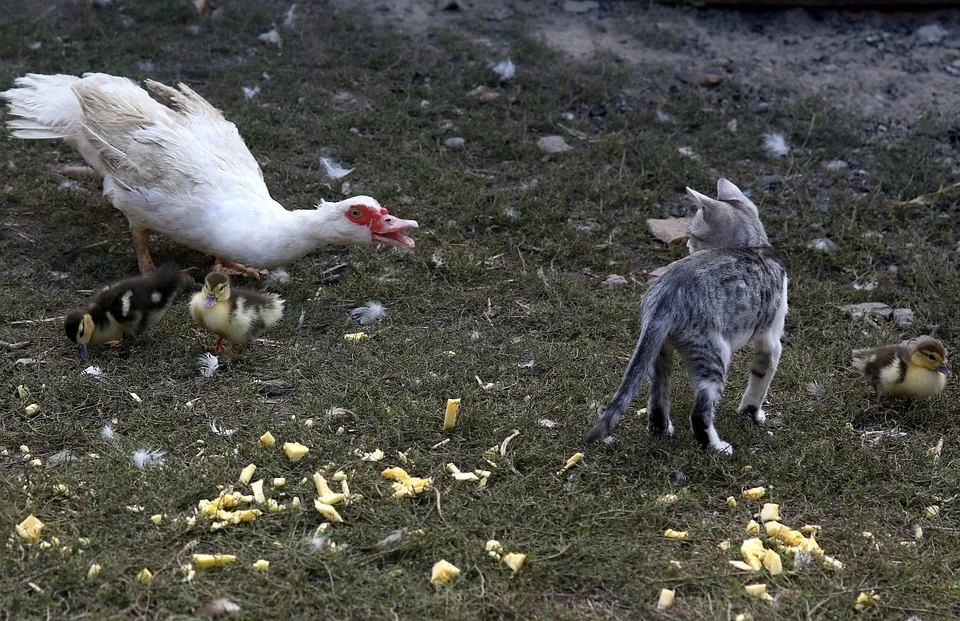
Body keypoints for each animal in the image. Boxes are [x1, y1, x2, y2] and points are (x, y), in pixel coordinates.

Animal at [584, 177, 788, 452]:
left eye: (692, 234)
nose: (689, 244)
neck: (754, 246)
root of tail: (665, 296)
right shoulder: (771, 341)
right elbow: (759, 383)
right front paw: (752, 415)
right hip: (714, 357)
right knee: (700, 413)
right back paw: (717, 448)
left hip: (658, 353)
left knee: (657, 401)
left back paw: (661, 431)